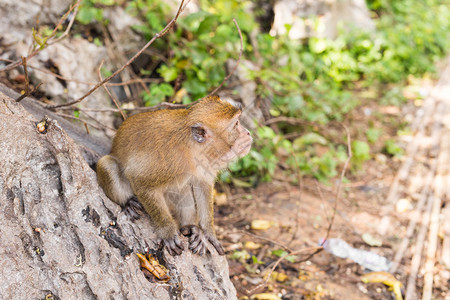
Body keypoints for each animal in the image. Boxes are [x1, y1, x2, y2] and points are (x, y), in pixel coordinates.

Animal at [97, 96, 253, 255]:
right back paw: (127, 203)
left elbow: (203, 186)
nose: (248, 133)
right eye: (236, 124)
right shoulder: (169, 160)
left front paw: (208, 233)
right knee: (108, 165)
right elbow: (141, 181)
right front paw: (168, 232)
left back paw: (189, 229)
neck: (192, 148)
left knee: (184, 191)